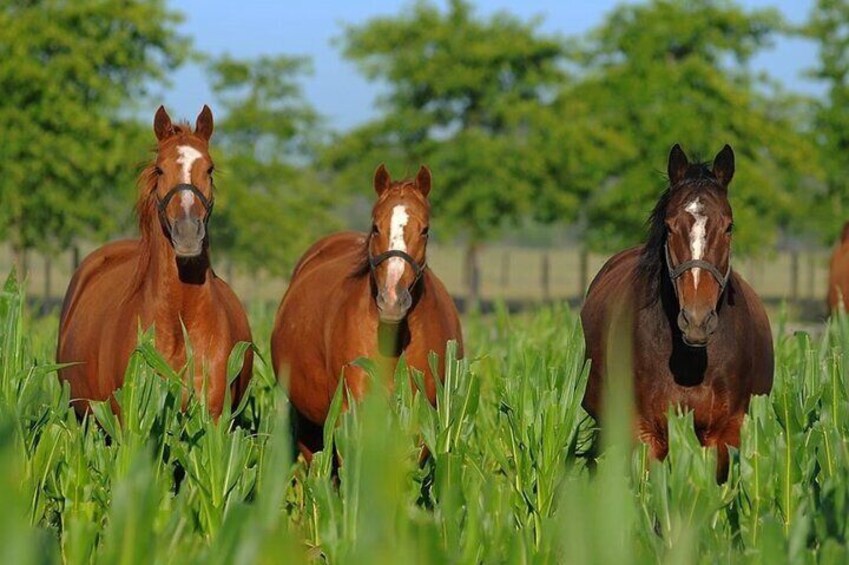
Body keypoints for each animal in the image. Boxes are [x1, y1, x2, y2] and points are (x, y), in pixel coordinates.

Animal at [584, 143, 776, 478]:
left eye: (728, 226)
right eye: (670, 226)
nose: (696, 321)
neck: (691, 363)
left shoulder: (724, 434)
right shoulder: (646, 433)